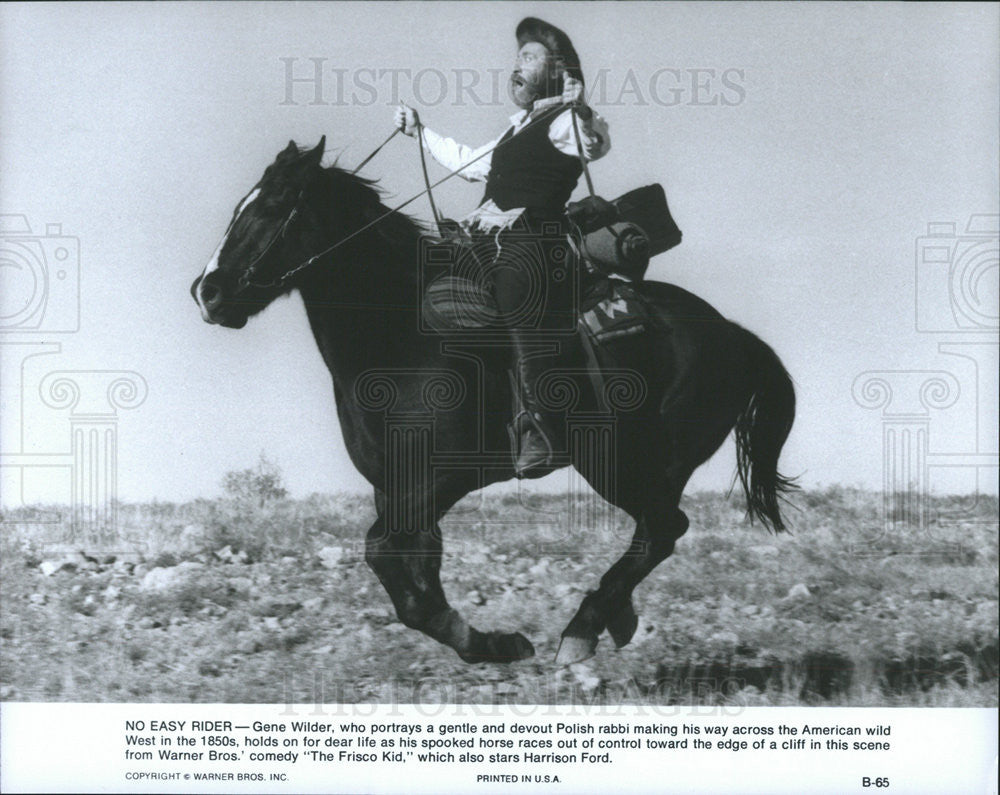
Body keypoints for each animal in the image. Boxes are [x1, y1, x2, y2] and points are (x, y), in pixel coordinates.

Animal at [189, 137, 796, 664]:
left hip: (631, 462)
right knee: (655, 530)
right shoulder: (396, 486)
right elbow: (414, 572)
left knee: (663, 529)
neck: (404, 339)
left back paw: (583, 628)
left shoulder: (442, 479)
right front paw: (485, 641)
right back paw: (614, 617)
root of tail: (733, 333)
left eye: (273, 206)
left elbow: (382, 553)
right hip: (625, 466)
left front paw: (496, 644)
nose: (208, 292)